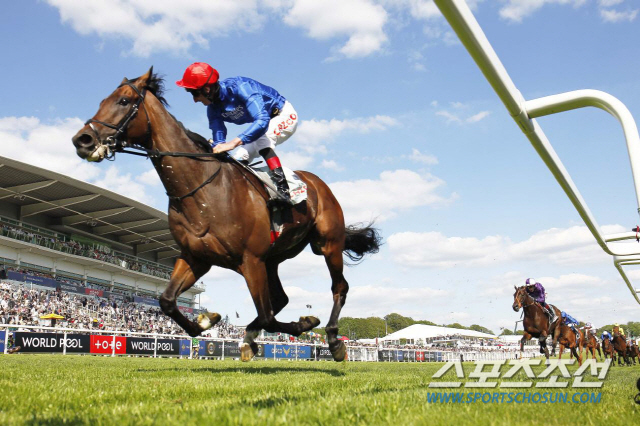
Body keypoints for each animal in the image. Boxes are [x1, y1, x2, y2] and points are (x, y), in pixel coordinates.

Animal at [71, 68, 380, 362]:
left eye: (124, 101)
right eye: (102, 101)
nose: (81, 139)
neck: (202, 189)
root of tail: (317, 183)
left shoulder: (250, 259)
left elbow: (269, 316)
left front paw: (305, 322)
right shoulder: (196, 258)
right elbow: (167, 300)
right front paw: (206, 321)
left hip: (327, 243)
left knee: (338, 287)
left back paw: (333, 340)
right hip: (273, 259)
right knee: (280, 299)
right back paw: (250, 339)